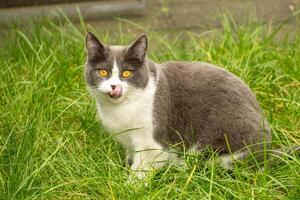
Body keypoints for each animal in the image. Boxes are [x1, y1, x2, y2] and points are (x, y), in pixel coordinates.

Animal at [84, 32, 272, 179]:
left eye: (126, 73)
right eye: (103, 72)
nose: (114, 86)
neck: (120, 110)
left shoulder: (152, 146)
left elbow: (140, 170)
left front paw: (129, 186)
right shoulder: (130, 144)